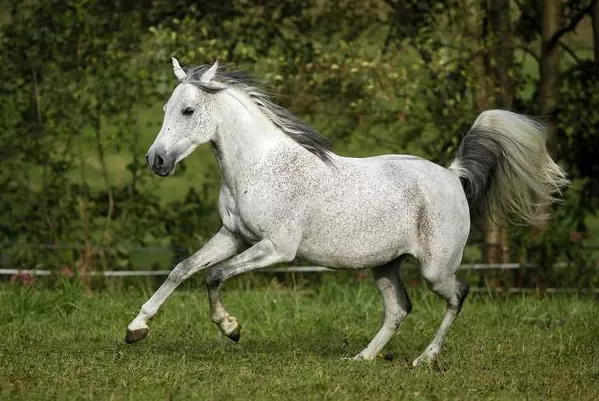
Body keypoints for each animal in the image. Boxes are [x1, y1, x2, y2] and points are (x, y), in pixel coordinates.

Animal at [125, 59, 568, 366]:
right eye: (165, 108)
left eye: (187, 111)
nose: (156, 161)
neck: (259, 165)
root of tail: (453, 175)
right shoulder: (233, 235)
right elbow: (183, 269)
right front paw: (136, 329)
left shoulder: (276, 248)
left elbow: (214, 276)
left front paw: (231, 328)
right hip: (384, 264)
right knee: (398, 309)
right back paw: (362, 358)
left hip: (435, 268)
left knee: (458, 295)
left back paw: (425, 358)